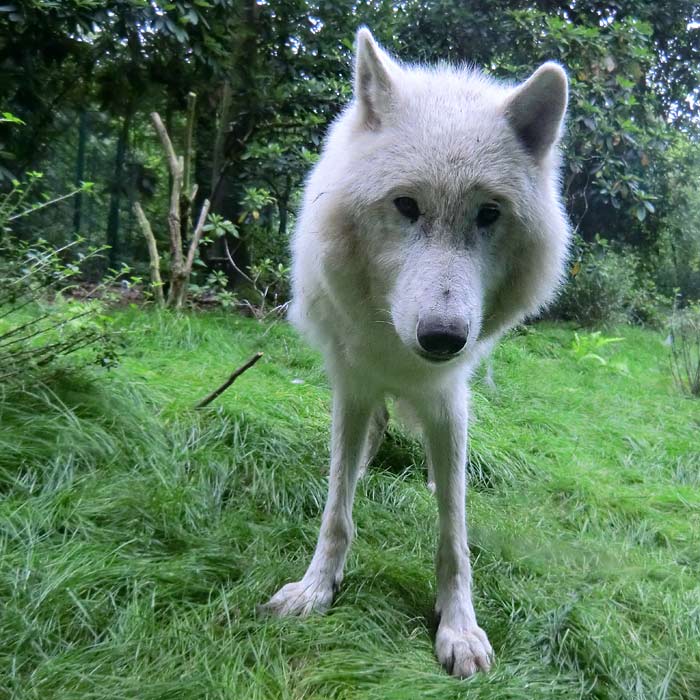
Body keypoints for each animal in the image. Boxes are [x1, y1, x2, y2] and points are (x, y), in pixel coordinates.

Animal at [262, 28, 568, 680]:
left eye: (488, 214)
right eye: (406, 205)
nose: (443, 338)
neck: (401, 352)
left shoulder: (447, 396)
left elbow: (454, 533)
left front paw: (459, 629)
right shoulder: (353, 383)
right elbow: (337, 510)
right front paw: (315, 589)